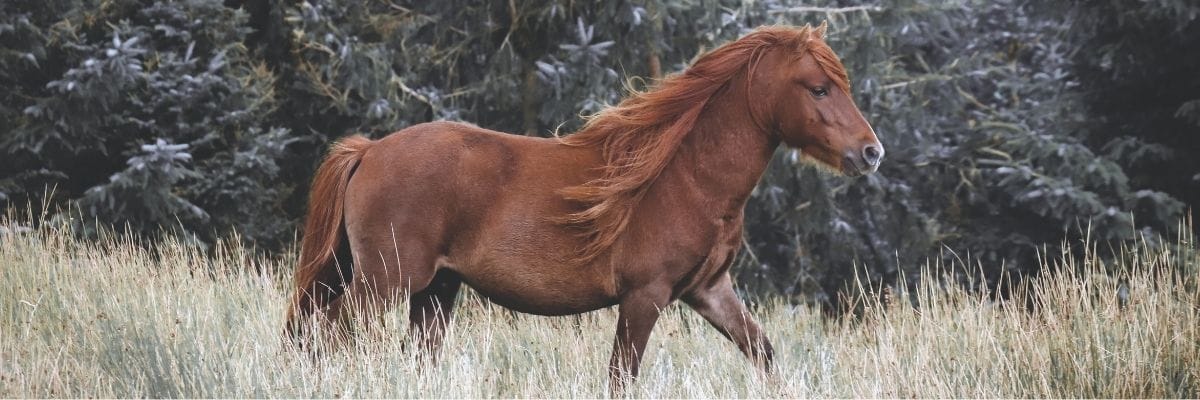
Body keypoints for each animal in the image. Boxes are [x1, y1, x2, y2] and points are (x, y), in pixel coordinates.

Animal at [284, 23, 883, 392]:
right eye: (819, 88)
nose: (871, 153)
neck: (685, 176)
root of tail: (368, 151)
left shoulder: (710, 291)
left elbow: (763, 353)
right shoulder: (644, 297)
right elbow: (621, 377)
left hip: (434, 292)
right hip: (385, 283)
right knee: (328, 338)